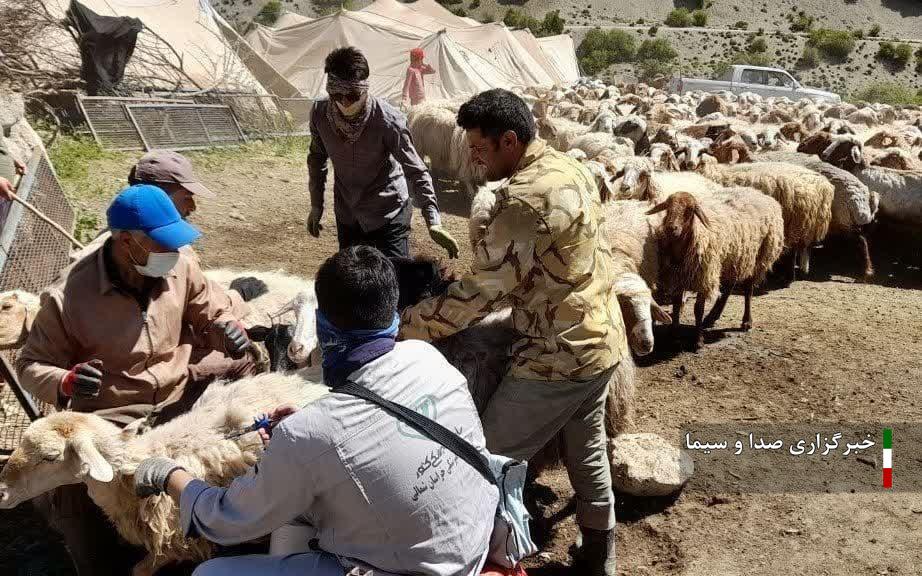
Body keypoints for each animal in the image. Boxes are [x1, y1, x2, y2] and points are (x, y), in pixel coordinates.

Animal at [644, 191, 780, 348]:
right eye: (668, 207)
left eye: (690, 210)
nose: (671, 228)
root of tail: (760, 193)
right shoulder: (678, 276)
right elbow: (676, 305)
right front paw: (674, 334)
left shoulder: (704, 277)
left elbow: (698, 309)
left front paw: (698, 340)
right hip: (732, 261)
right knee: (728, 288)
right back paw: (711, 318)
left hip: (756, 259)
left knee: (748, 290)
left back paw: (746, 321)